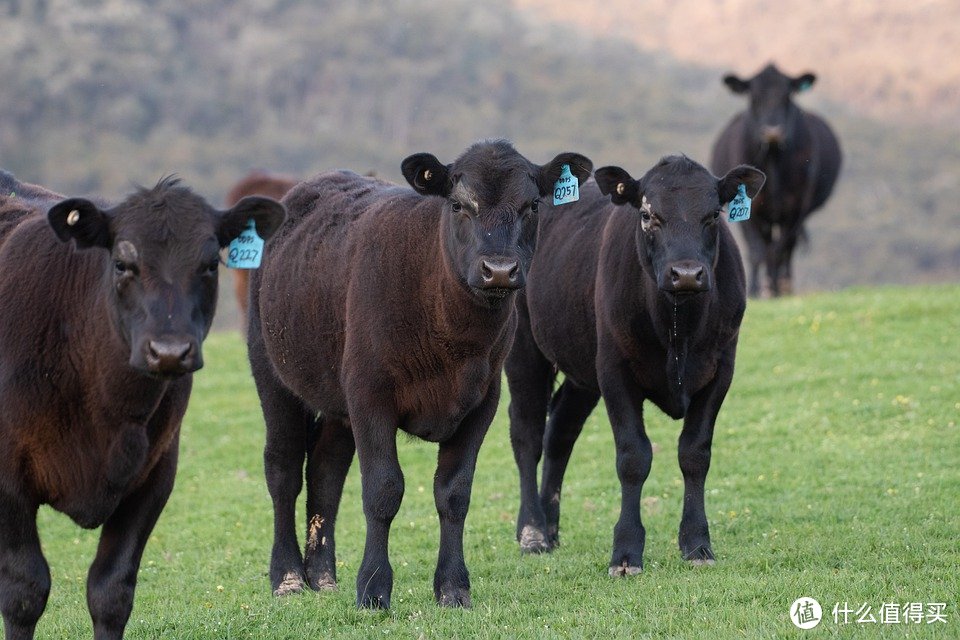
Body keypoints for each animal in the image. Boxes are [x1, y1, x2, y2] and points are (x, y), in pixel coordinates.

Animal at [0, 170, 284, 640]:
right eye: (122, 264)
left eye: (211, 264)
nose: (169, 352)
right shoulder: (7, 481)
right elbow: (24, 590)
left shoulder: (155, 474)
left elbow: (111, 591)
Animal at [246, 140, 592, 608]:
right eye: (459, 204)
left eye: (532, 205)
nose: (499, 270)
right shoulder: (371, 396)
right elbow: (383, 489)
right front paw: (373, 588)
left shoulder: (482, 402)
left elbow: (454, 493)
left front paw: (453, 586)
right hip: (272, 374)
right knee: (283, 469)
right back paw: (288, 576)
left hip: (338, 402)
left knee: (325, 471)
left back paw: (322, 575)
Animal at [502, 156, 764, 576]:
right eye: (647, 215)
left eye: (713, 215)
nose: (686, 274)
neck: (678, 330)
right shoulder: (615, 372)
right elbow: (633, 458)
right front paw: (625, 552)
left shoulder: (720, 371)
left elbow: (695, 454)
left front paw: (697, 544)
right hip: (524, 349)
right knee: (526, 432)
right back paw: (534, 533)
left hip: (582, 369)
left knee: (560, 431)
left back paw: (552, 527)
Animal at [712, 62, 840, 298]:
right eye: (753, 96)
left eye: (787, 95)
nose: (772, 131)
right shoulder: (751, 211)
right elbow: (757, 250)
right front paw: (755, 290)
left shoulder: (796, 208)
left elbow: (780, 250)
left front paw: (774, 288)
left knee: (786, 247)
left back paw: (783, 285)